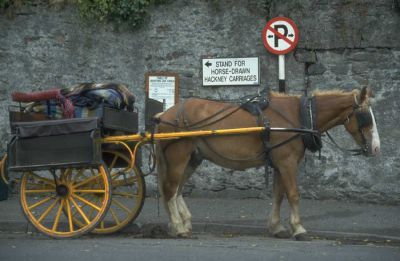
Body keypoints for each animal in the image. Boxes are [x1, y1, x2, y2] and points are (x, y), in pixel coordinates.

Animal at [155, 86, 380, 239]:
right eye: (365, 116)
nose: (376, 148)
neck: (299, 115)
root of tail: (165, 114)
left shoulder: (280, 164)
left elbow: (278, 195)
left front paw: (277, 227)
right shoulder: (287, 163)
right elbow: (293, 194)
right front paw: (298, 228)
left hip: (193, 158)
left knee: (177, 190)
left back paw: (183, 223)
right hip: (178, 157)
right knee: (170, 190)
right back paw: (178, 227)